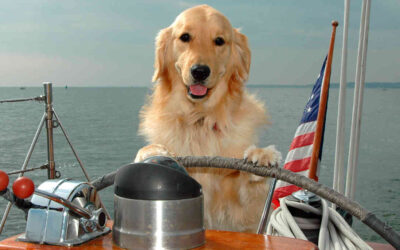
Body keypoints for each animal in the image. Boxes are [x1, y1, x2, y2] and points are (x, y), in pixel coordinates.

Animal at [135, 4, 282, 232]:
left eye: (219, 41)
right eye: (185, 37)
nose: (200, 71)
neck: (200, 120)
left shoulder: (240, 213)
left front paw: (262, 155)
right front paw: (151, 151)